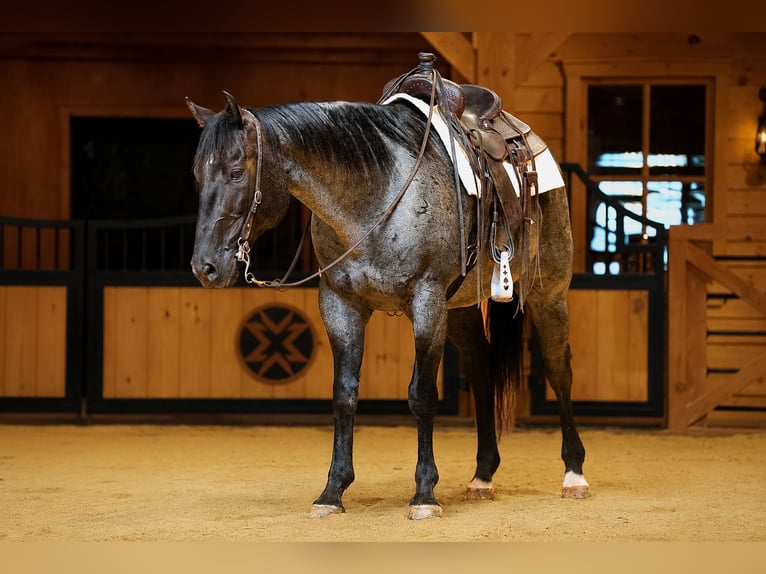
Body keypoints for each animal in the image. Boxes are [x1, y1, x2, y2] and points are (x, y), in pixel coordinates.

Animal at [185, 69, 589, 520]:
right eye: (198, 174)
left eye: (237, 172)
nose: (205, 267)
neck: (375, 196)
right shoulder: (340, 304)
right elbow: (344, 395)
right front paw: (332, 492)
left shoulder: (427, 301)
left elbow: (422, 395)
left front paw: (425, 494)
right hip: (460, 307)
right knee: (482, 369)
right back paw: (483, 476)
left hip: (547, 292)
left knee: (559, 369)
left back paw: (574, 474)